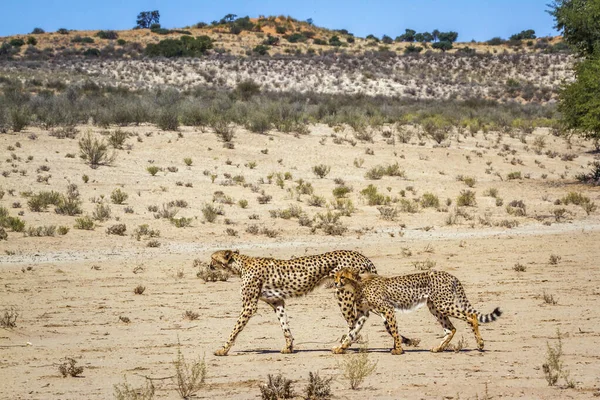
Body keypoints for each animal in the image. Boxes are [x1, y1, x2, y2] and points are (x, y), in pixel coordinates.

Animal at [206, 250, 376, 356]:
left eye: (213, 258)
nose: (209, 265)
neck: (240, 265)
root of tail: (362, 256)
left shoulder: (249, 306)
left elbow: (235, 329)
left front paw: (223, 350)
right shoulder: (277, 301)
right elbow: (284, 325)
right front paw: (289, 347)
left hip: (343, 293)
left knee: (355, 320)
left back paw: (343, 345)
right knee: (361, 316)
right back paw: (344, 344)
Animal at [332, 268, 502, 354]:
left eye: (342, 277)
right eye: (335, 276)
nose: (335, 283)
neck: (357, 284)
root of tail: (449, 274)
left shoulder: (387, 309)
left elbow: (394, 331)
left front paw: (398, 349)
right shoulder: (363, 314)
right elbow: (352, 332)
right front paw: (341, 348)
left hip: (443, 304)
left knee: (471, 316)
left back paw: (480, 344)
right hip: (434, 307)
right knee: (451, 328)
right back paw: (439, 348)